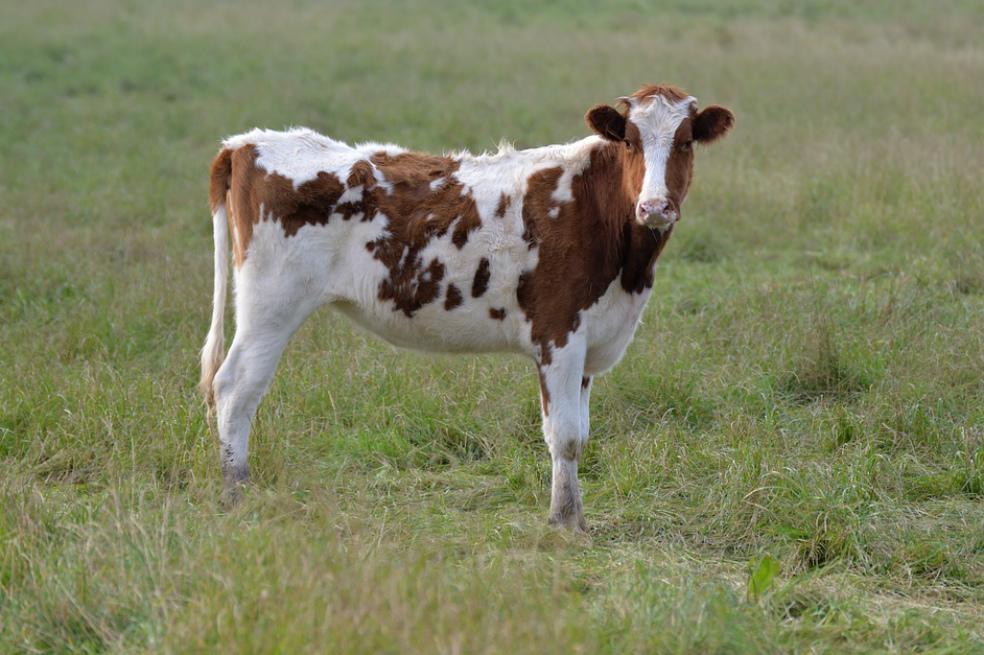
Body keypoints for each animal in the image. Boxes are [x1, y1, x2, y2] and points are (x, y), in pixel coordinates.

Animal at [200, 84, 734, 532]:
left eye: (686, 143)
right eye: (630, 144)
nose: (655, 207)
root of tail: (247, 143)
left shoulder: (592, 340)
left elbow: (580, 432)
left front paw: (576, 518)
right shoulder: (558, 333)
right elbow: (564, 435)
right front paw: (562, 522)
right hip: (271, 304)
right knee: (235, 389)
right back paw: (236, 493)